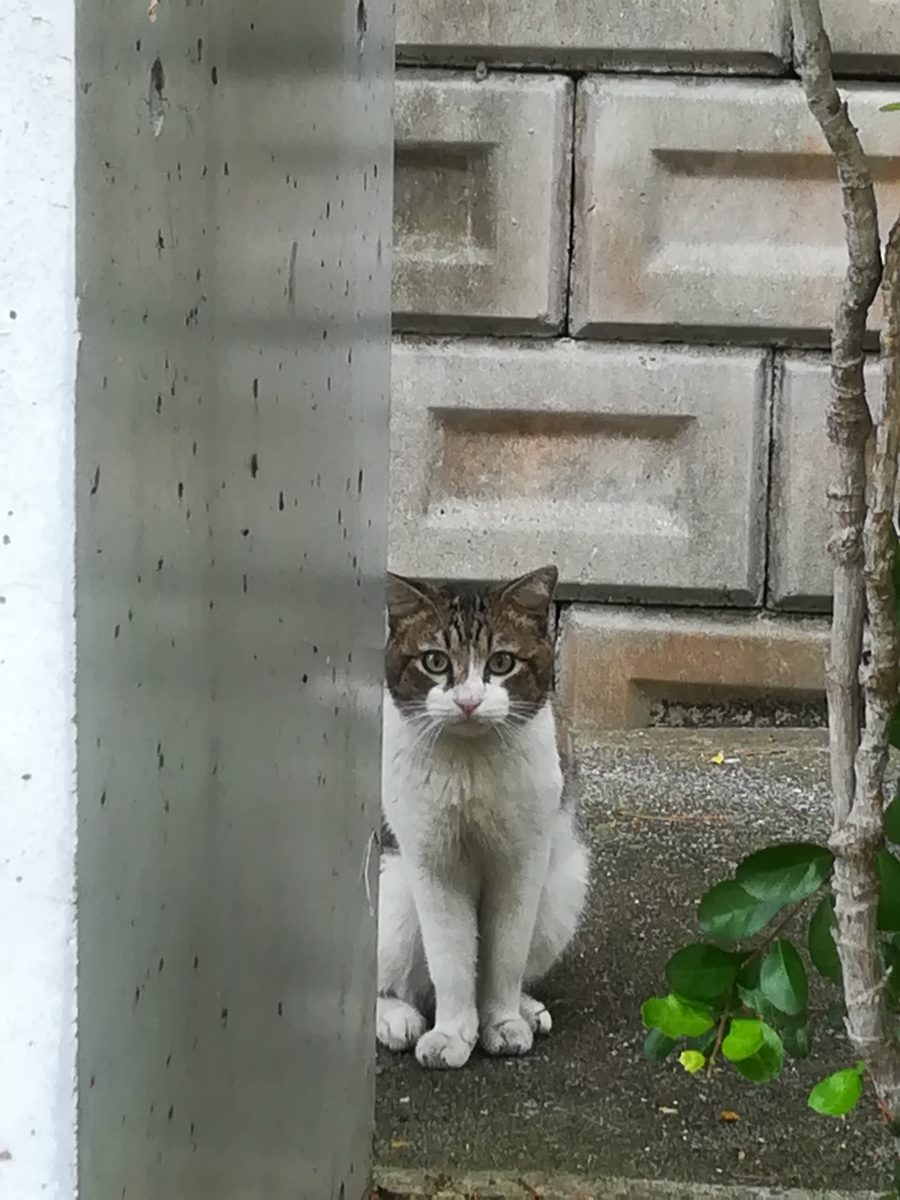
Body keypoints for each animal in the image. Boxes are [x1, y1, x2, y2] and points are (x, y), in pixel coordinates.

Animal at [376, 564, 589, 1070]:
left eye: (502, 663)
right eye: (435, 662)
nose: (469, 701)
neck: (470, 767)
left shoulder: (523, 861)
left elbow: (506, 954)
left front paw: (503, 1022)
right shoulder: (433, 864)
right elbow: (451, 960)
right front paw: (451, 1035)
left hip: (563, 887)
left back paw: (526, 1009)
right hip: (393, 896)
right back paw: (396, 1017)